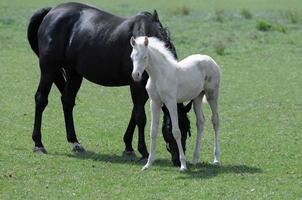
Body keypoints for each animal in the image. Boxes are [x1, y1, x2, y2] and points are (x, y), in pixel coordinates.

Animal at [26, 2, 191, 165]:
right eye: (171, 128)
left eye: (187, 129)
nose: (178, 160)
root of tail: (52, 11)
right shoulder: (136, 85)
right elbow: (140, 117)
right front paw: (144, 152)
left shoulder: (145, 88)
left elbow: (134, 113)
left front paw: (128, 147)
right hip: (49, 70)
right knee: (41, 99)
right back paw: (38, 144)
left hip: (74, 73)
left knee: (67, 101)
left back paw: (75, 142)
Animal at [131, 36, 221, 171]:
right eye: (132, 57)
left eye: (145, 57)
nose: (135, 75)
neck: (159, 76)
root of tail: (211, 60)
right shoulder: (155, 103)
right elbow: (153, 131)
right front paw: (148, 164)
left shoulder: (171, 103)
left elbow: (176, 131)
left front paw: (183, 165)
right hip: (197, 97)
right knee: (200, 122)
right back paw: (195, 159)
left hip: (212, 95)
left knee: (215, 120)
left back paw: (216, 159)